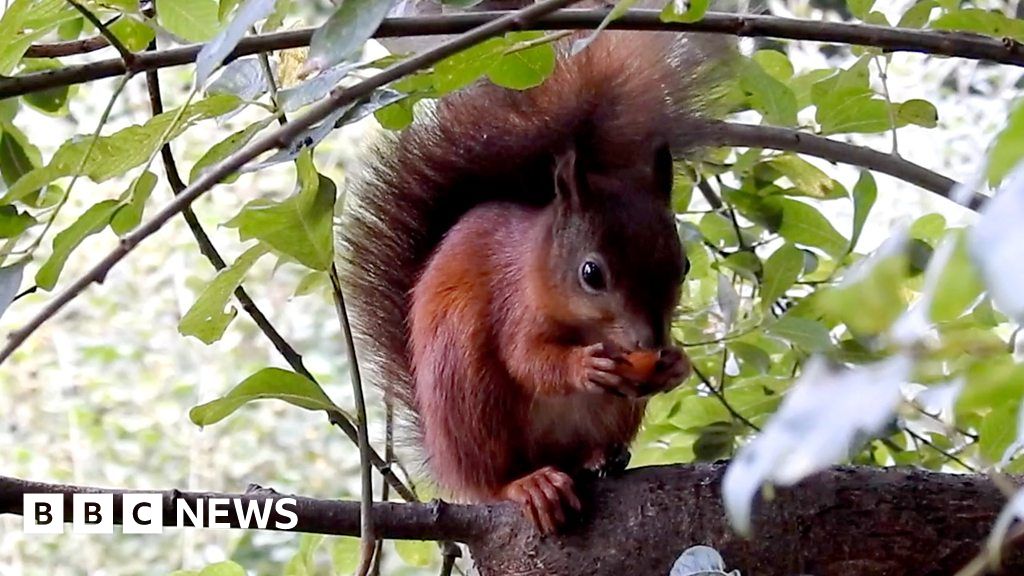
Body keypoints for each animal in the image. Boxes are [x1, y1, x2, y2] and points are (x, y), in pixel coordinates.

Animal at [339, 25, 733, 528]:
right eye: (591, 273)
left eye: (682, 265)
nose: (651, 342)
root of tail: (446, 459)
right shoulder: (513, 305)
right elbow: (525, 358)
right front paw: (583, 366)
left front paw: (675, 364)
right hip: (468, 390)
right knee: (493, 477)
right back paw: (528, 483)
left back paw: (602, 457)